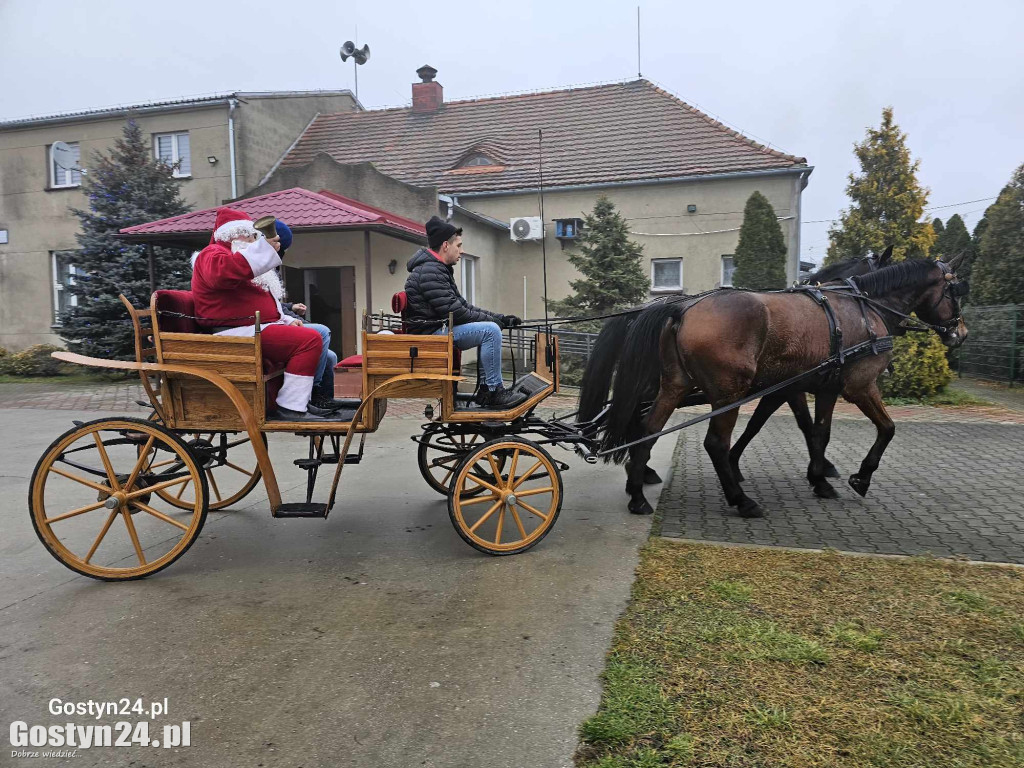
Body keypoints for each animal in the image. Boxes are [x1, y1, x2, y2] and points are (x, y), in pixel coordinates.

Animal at [593, 257, 966, 518]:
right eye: (954, 291)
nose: (960, 333)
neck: (861, 307)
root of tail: (682, 308)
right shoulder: (857, 386)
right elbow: (886, 429)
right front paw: (859, 477)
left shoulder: (815, 388)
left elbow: (817, 431)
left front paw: (820, 477)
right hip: (728, 392)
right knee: (713, 443)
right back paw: (741, 501)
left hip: (675, 385)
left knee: (649, 429)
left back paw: (638, 494)